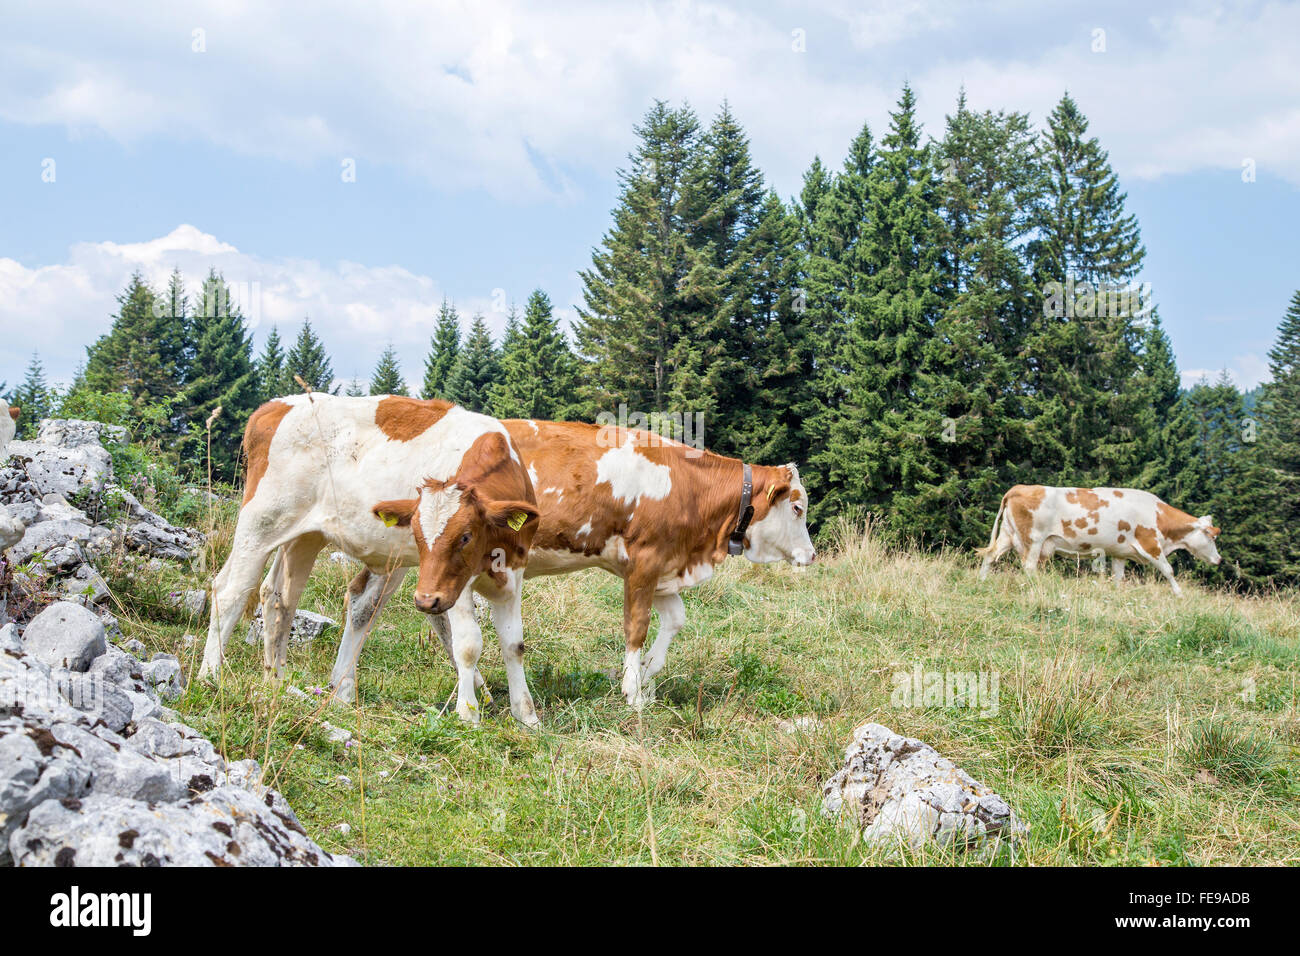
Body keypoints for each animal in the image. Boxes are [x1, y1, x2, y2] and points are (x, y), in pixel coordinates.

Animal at [197, 394, 542, 726]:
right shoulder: (454, 585)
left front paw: (526, 716)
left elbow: (514, 645)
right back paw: (211, 676)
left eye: (466, 536)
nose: (426, 599)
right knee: (230, 591)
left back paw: (277, 682)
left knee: (279, 597)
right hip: (260, 523)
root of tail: (274, 406)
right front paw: (468, 713)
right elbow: (468, 644)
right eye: (416, 534)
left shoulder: (513, 574)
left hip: (304, 536)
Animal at [325, 419, 816, 710]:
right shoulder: (645, 561)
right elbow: (636, 627)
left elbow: (675, 621)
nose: (811, 555)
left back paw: (344, 687)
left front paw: (648, 677)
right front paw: (633, 692)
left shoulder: (663, 568)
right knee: (370, 605)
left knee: (375, 603)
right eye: (797, 508)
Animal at [977, 484, 1221, 595]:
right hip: (1034, 540)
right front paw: (1179, 594)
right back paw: (1036, 587)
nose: (1219, 559)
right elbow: (1168, 570)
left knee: (990, 556)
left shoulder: (1120, 553)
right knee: (1028, 567)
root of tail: (1018, 488)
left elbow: (1119, 578)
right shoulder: (1151, 544)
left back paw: (983, 580)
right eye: (1211, 537)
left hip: (1008, 535)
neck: (1158, 515)